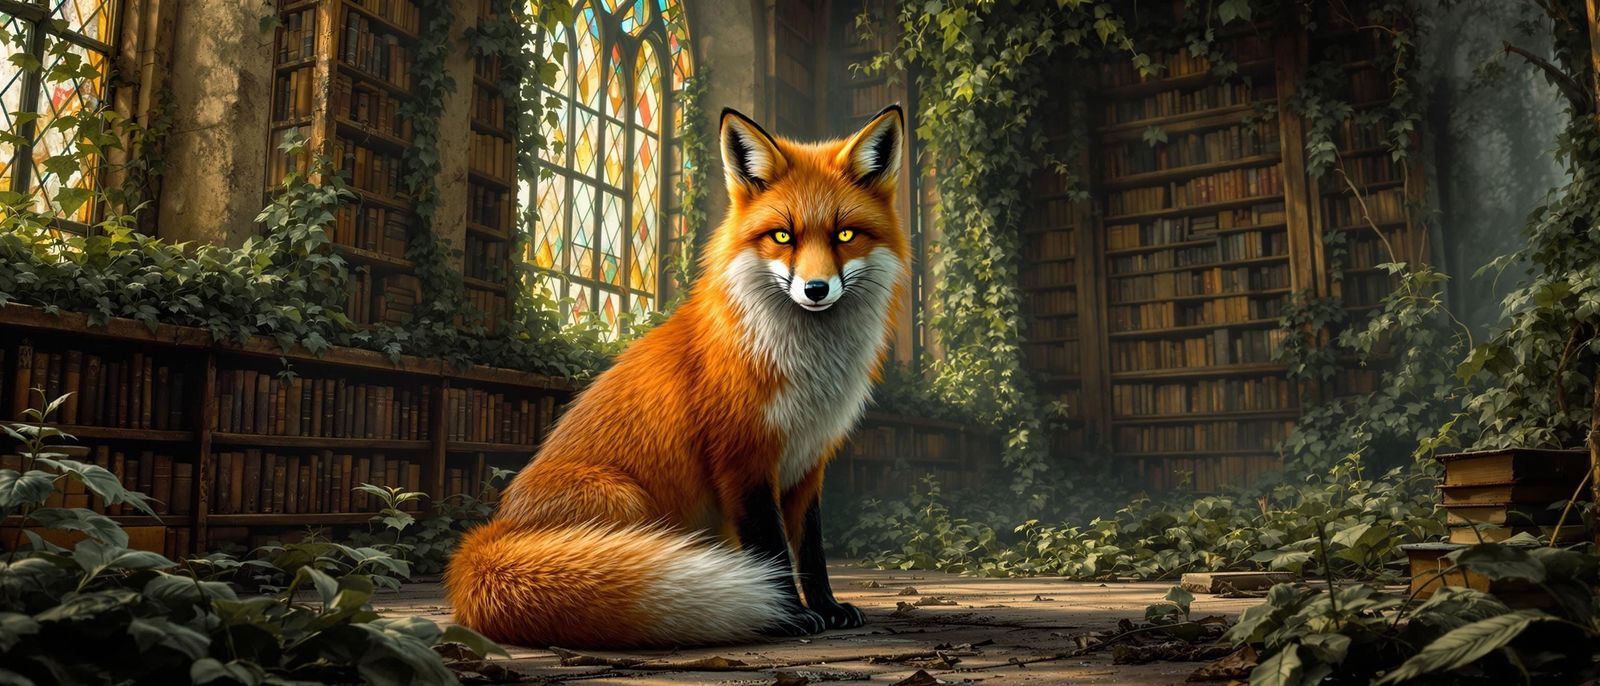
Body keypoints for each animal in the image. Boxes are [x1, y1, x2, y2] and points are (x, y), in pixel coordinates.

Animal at [444, 104, 910, 648]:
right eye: (782, 236)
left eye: (844, 235)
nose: (816, 290)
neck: (806, 366)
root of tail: (490, 533)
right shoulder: (743, 459)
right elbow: (772, 551)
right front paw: (788, 615)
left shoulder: (808, 462)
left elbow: (812, 550)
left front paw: (828, 608)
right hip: (625, 501)